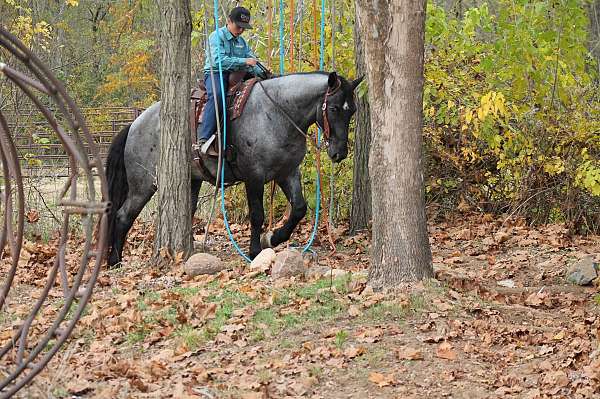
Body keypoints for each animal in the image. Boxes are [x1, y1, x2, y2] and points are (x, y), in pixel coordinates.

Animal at [104, 72, 360, 268]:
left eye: (352, 110)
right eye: (334, 108)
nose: (339, 152)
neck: (276, 113)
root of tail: (134, 124)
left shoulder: (287, 173)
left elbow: (299, 208)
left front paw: (273, 238)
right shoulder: (254, 176)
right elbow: (257, 215)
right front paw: (255, 250)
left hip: (190, 180)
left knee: (186, 210)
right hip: (144, 184)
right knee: (123, 216)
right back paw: (114, 260)